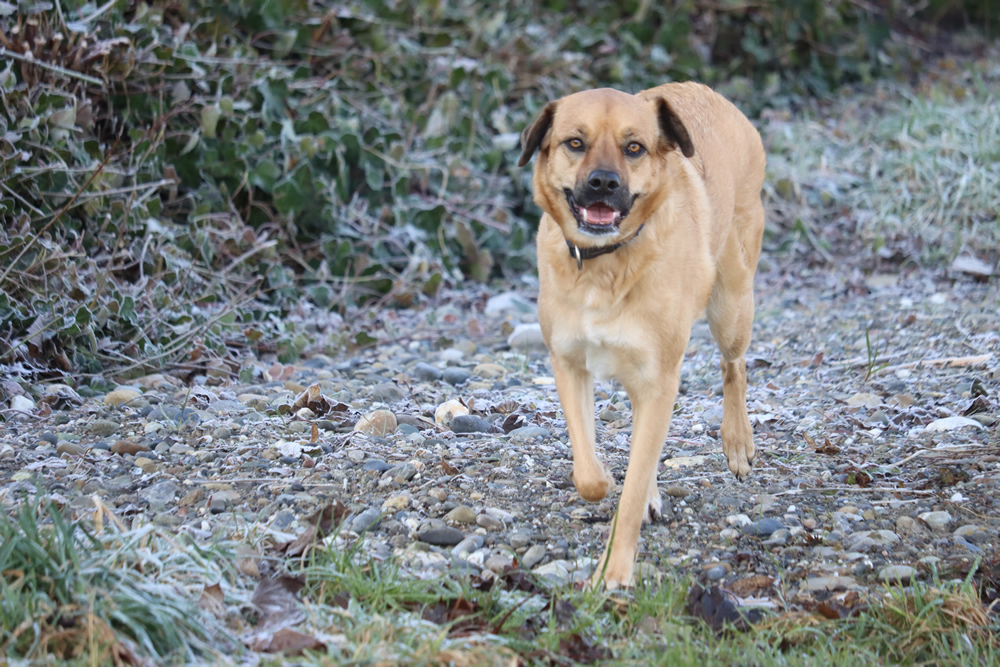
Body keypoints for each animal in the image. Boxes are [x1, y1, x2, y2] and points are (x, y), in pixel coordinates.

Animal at [518, 82, 766, 588]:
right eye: (575, 142)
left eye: (634, 148)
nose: (603, 183)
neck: (604, 263)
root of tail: (707, 91)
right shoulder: (569, 364)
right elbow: (589, 472)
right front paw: (605, 481)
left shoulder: (658, 380)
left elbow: (630, 492)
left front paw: (613, 573)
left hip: (731, 306)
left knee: (734, 367)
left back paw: (737, 441)